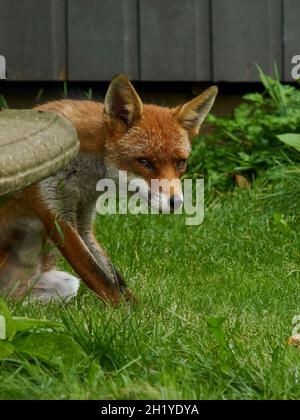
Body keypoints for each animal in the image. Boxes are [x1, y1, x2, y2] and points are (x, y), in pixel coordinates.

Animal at [0, 74, 217, 306]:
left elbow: (115, 278)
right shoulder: (56, 214)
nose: (176, 203)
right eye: (144, 162)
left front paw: (141, 310)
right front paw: (123, 312)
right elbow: (100, 279)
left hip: (64, 284)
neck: (84, 172)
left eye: (180, 163)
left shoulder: (83, 220)